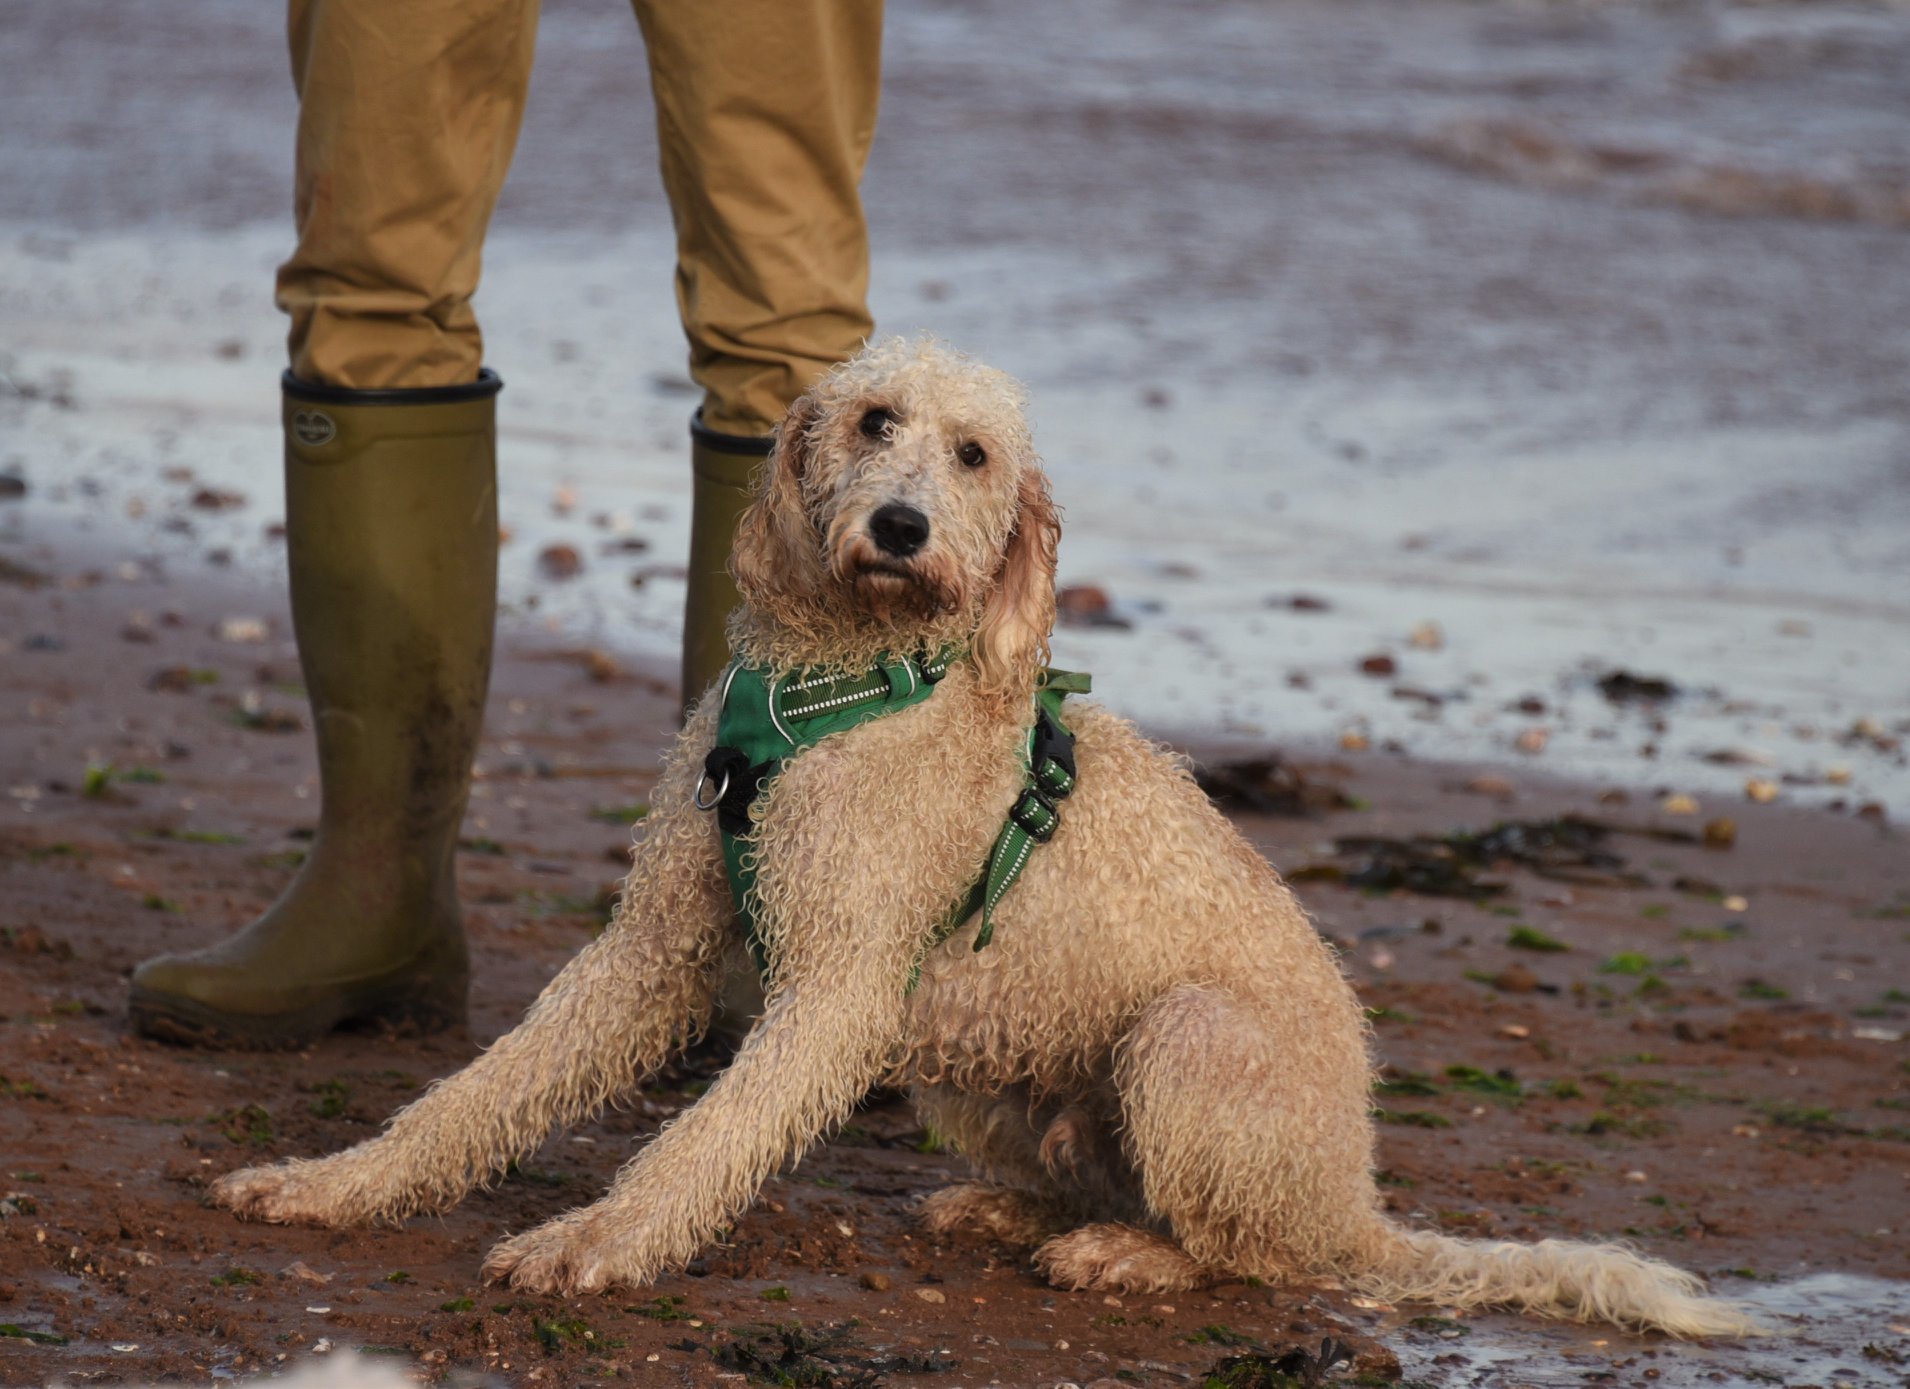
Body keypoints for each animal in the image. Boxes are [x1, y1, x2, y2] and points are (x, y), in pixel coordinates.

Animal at [212, 341, 1757, 1345]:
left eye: (972, 456)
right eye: (870, 419)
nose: (902, 526)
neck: (842, 686)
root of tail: (1353, 1195)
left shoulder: (836, 992)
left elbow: (698, 1144)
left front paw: (593, 1242)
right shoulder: (653, 948)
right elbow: (476, 1092)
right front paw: (334, 1185)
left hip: (1187, 1042)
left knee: (1250, 1257)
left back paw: (1134, 1262)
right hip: (994, 1071)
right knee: (1099, 1180)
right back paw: (1008, 1218)